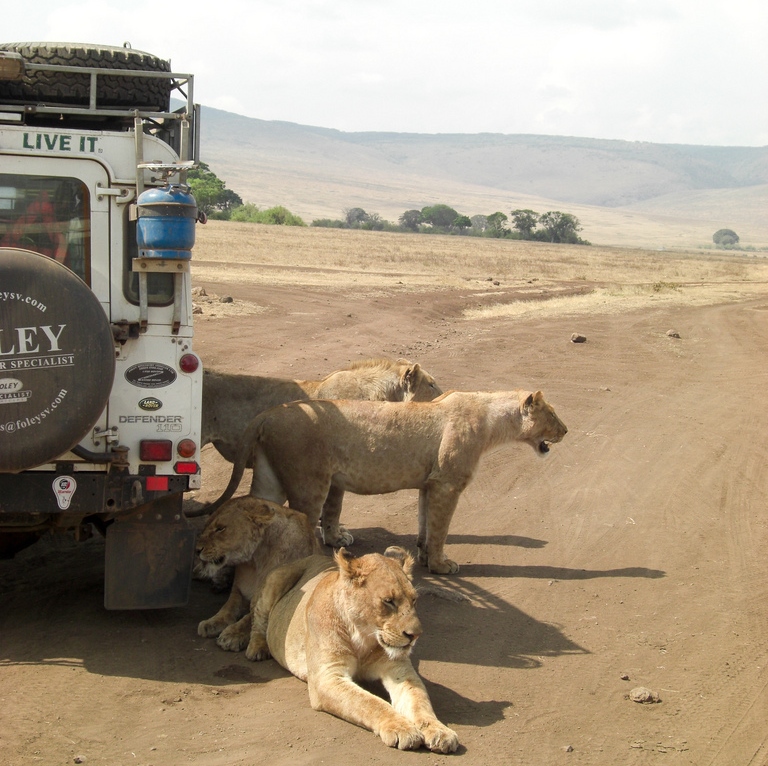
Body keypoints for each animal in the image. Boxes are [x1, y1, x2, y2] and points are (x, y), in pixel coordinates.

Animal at [198, 496, 320, 652]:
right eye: (207, 525)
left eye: (220, 528)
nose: (197, 549)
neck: (256, 560)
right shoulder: (239, 590)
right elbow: (228, 607)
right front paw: (211, 623)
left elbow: (251, 616)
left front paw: (232, 635)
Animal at [207, 390, 568, 576]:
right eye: (552, 414)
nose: (566, 430)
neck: (493, 422)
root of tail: (268, 413)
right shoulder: (448, 484)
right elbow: (441, 529)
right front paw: (442, 565)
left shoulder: (430, 485)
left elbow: (425, 525)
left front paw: (424, 558)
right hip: (309, 484)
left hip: (269, 478)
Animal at [244, 544, 456, 756]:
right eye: (388, 601)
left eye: (414, 600)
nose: (415, 635)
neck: (364, 638)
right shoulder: (327, 677)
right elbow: (370, 703)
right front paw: (402, 728)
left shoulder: (400, 671)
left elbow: (419, 700)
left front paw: (439, 730)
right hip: (276, 579)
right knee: (257, 618)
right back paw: (257, 649)